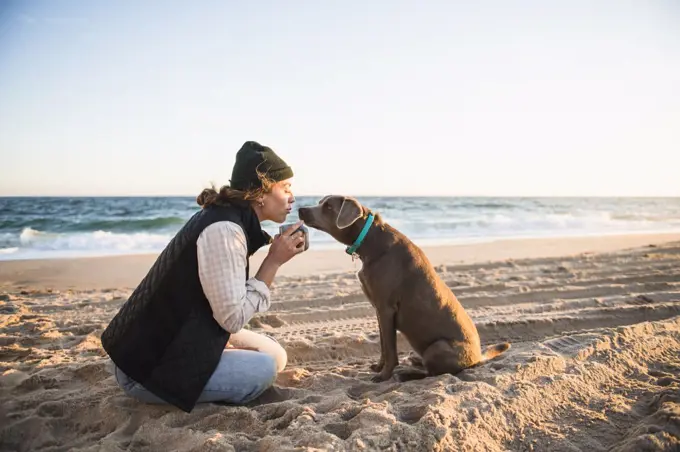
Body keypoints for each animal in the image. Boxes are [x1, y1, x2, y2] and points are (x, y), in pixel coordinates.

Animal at [298, 196, 510, 384]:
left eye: (328, 207)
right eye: (320, 202)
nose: (301, 209)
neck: (371, 239)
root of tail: (478, 358)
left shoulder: (386, 308)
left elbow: (391, 350)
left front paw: (384, 376)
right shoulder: (379, 310)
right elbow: (384, 345)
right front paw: (379, 367)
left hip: (438, 347)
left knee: (434, 373)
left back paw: (407, 374)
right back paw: (416, 360)